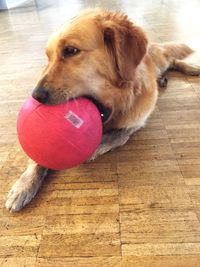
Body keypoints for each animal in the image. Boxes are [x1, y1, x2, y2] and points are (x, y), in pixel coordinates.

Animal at [5, 8, 199, 213]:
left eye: (71, 51)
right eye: (48, 57)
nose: (36, 95)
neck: (116, 102)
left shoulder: (135, 121)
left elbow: (116, 136)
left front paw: (96, 148)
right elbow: (37, 157)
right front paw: (24, 185)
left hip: (159, 60)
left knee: (172, 58)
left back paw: (191, 67)